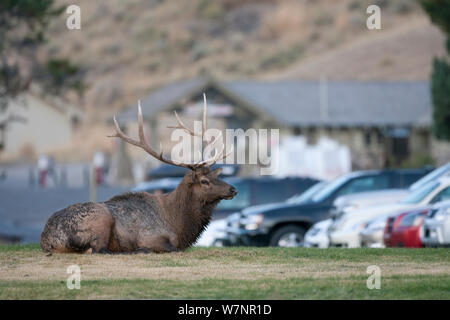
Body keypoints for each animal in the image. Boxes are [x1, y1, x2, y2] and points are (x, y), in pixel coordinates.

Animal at [40, 94, 237, 254]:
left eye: (217, 176)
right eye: (204, 181)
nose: (233, 189)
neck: (179, 224)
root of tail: (46, 240)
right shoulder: (151, 236)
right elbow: (171, 248)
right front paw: (144, 249)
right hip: (100, 219)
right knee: (98, 250)